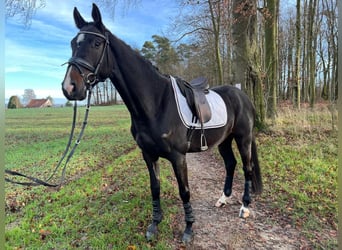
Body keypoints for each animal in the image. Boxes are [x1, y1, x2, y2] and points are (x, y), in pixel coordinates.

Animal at [60, 2, 262, 243]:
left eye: (97, 43)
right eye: (73, 43)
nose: (69, 87)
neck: (156, 103)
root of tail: (242, 96)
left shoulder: (178, 157)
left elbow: (184, 191)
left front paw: (188, 229)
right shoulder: (148, 154)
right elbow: (154, 187)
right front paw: (154, 224)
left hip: (243, 138)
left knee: (247, 168)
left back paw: (245, 207)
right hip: (224, 140)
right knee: (230, 164)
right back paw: (223, 199)